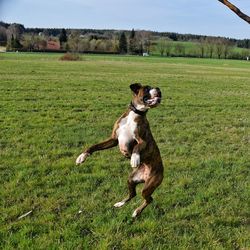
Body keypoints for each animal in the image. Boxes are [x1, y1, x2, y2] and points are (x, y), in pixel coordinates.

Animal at [76, 83, 164, 217]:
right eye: (147, 88)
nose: (159, 89)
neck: (135, 114)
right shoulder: (113, 139)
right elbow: (94, 146)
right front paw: (82, 156)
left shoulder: (143, 141)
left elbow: (137, 147)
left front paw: (134, 159)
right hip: (131, 180)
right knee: (133, 194)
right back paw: (120, 204)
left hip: (148, 186)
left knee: (149, 199)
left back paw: (136, 212)